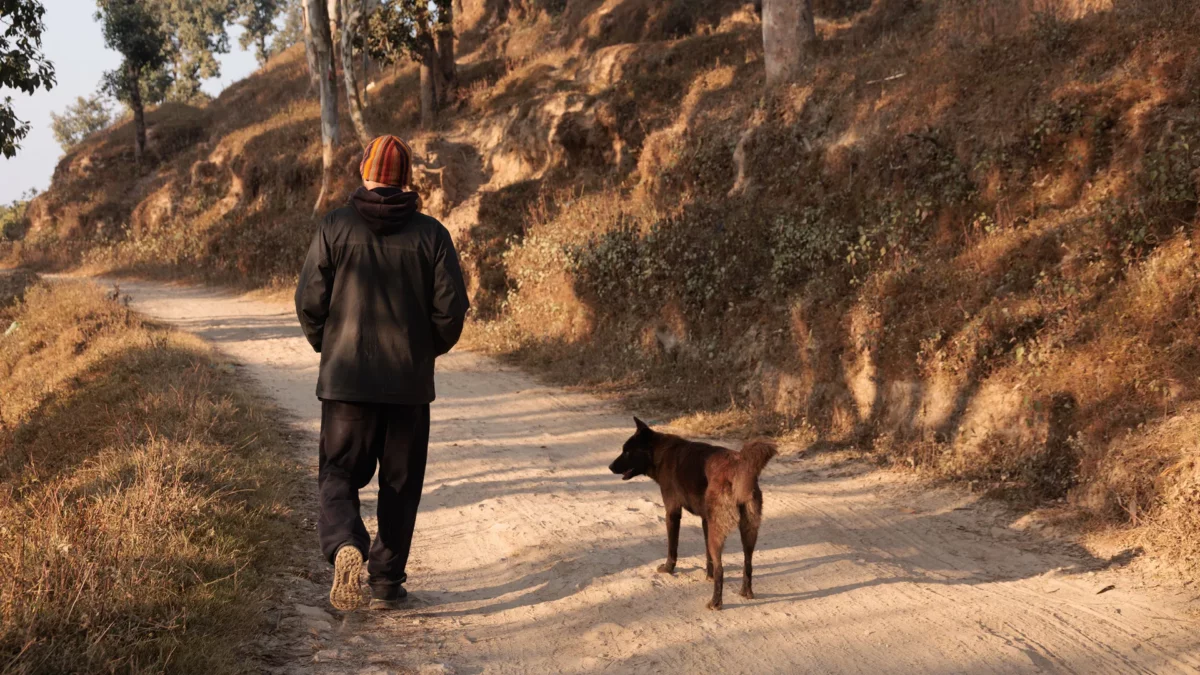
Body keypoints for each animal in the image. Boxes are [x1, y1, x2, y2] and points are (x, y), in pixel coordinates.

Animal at [609, 415, 777, 610]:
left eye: (628, 452)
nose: (610, 466)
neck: (660, 452)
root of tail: (739, 468)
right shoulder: (706, 520)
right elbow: (708, 555)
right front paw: (708, 574)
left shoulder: (672, 512)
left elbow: (672, 547)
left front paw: (668, 568)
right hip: (748, 531)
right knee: (747, 563)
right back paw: (746, 592)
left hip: (718, 534)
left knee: (721, 569)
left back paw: (716, 602)